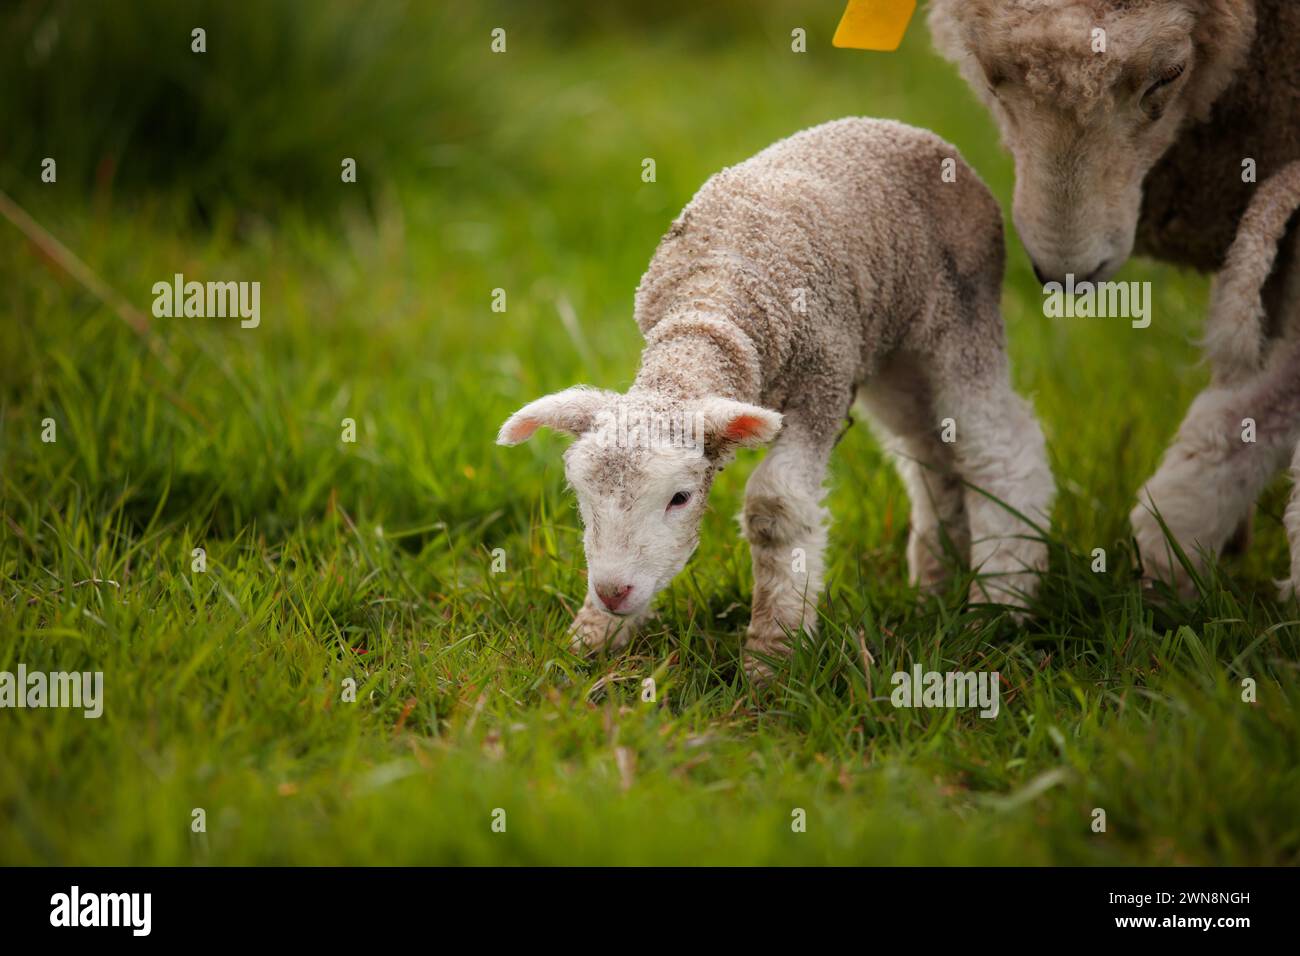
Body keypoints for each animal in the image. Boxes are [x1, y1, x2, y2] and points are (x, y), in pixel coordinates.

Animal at [497, 118, 1055, 679]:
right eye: (582, 498)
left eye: (680, 498)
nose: (613, 592)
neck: (713, 304)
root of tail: (911, 132)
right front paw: (593, 639)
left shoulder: (824, 378)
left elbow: (776, 506)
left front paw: (772, 657)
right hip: (894, 350)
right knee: (931, 454)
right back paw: (935, 589)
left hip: (960, 320)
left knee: (999, 450)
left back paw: (999, 606)